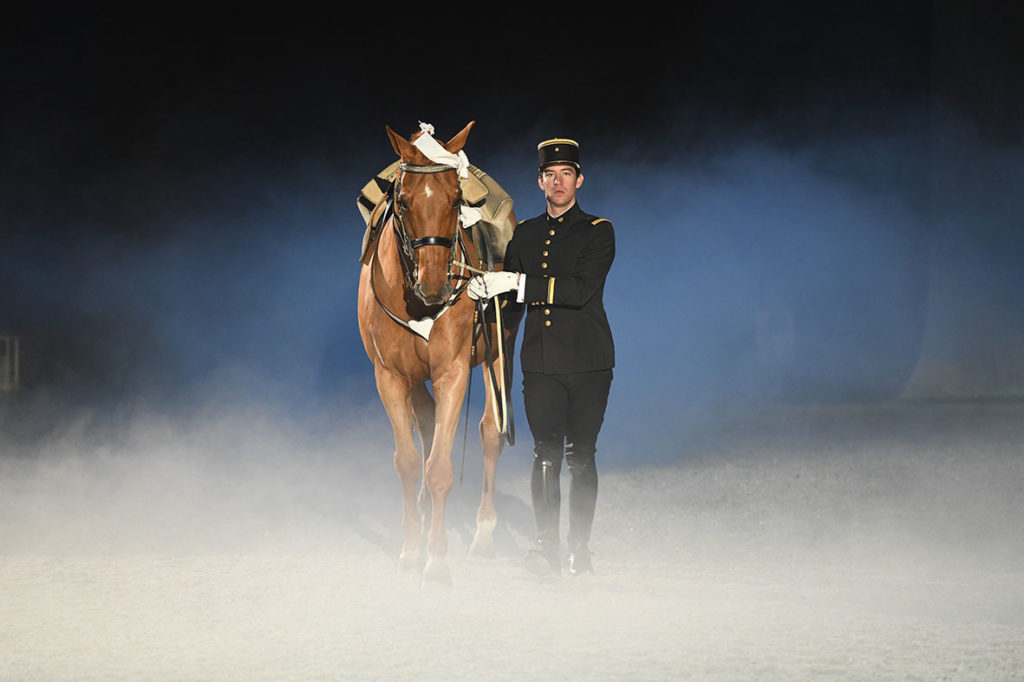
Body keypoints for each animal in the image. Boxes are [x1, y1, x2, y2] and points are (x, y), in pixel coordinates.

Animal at [360, 119, 520, 581]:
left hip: (499, 351)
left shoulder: (453, 372)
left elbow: (440, 468)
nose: (433, 284)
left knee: (490, 432)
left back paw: (483, 535)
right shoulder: (391, 378)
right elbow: (410, 461)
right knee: (427, 427)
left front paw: (437, 558)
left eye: (454, 199)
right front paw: (412, 548)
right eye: (403, 201)